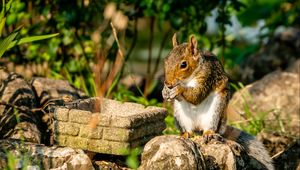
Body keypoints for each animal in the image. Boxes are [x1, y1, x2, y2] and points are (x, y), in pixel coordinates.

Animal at [163, 33, 274, 170]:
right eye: (166, 60)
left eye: (184, 64)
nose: (168, 83)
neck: (189, 78)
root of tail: (198, 128)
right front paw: (165, 91)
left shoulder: (207, 76)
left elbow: (197, 96)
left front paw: (179, 89)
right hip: (180, 115)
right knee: (189, 130)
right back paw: (185, 135)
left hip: (215, 111)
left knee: (209, 128)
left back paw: (209, 133)